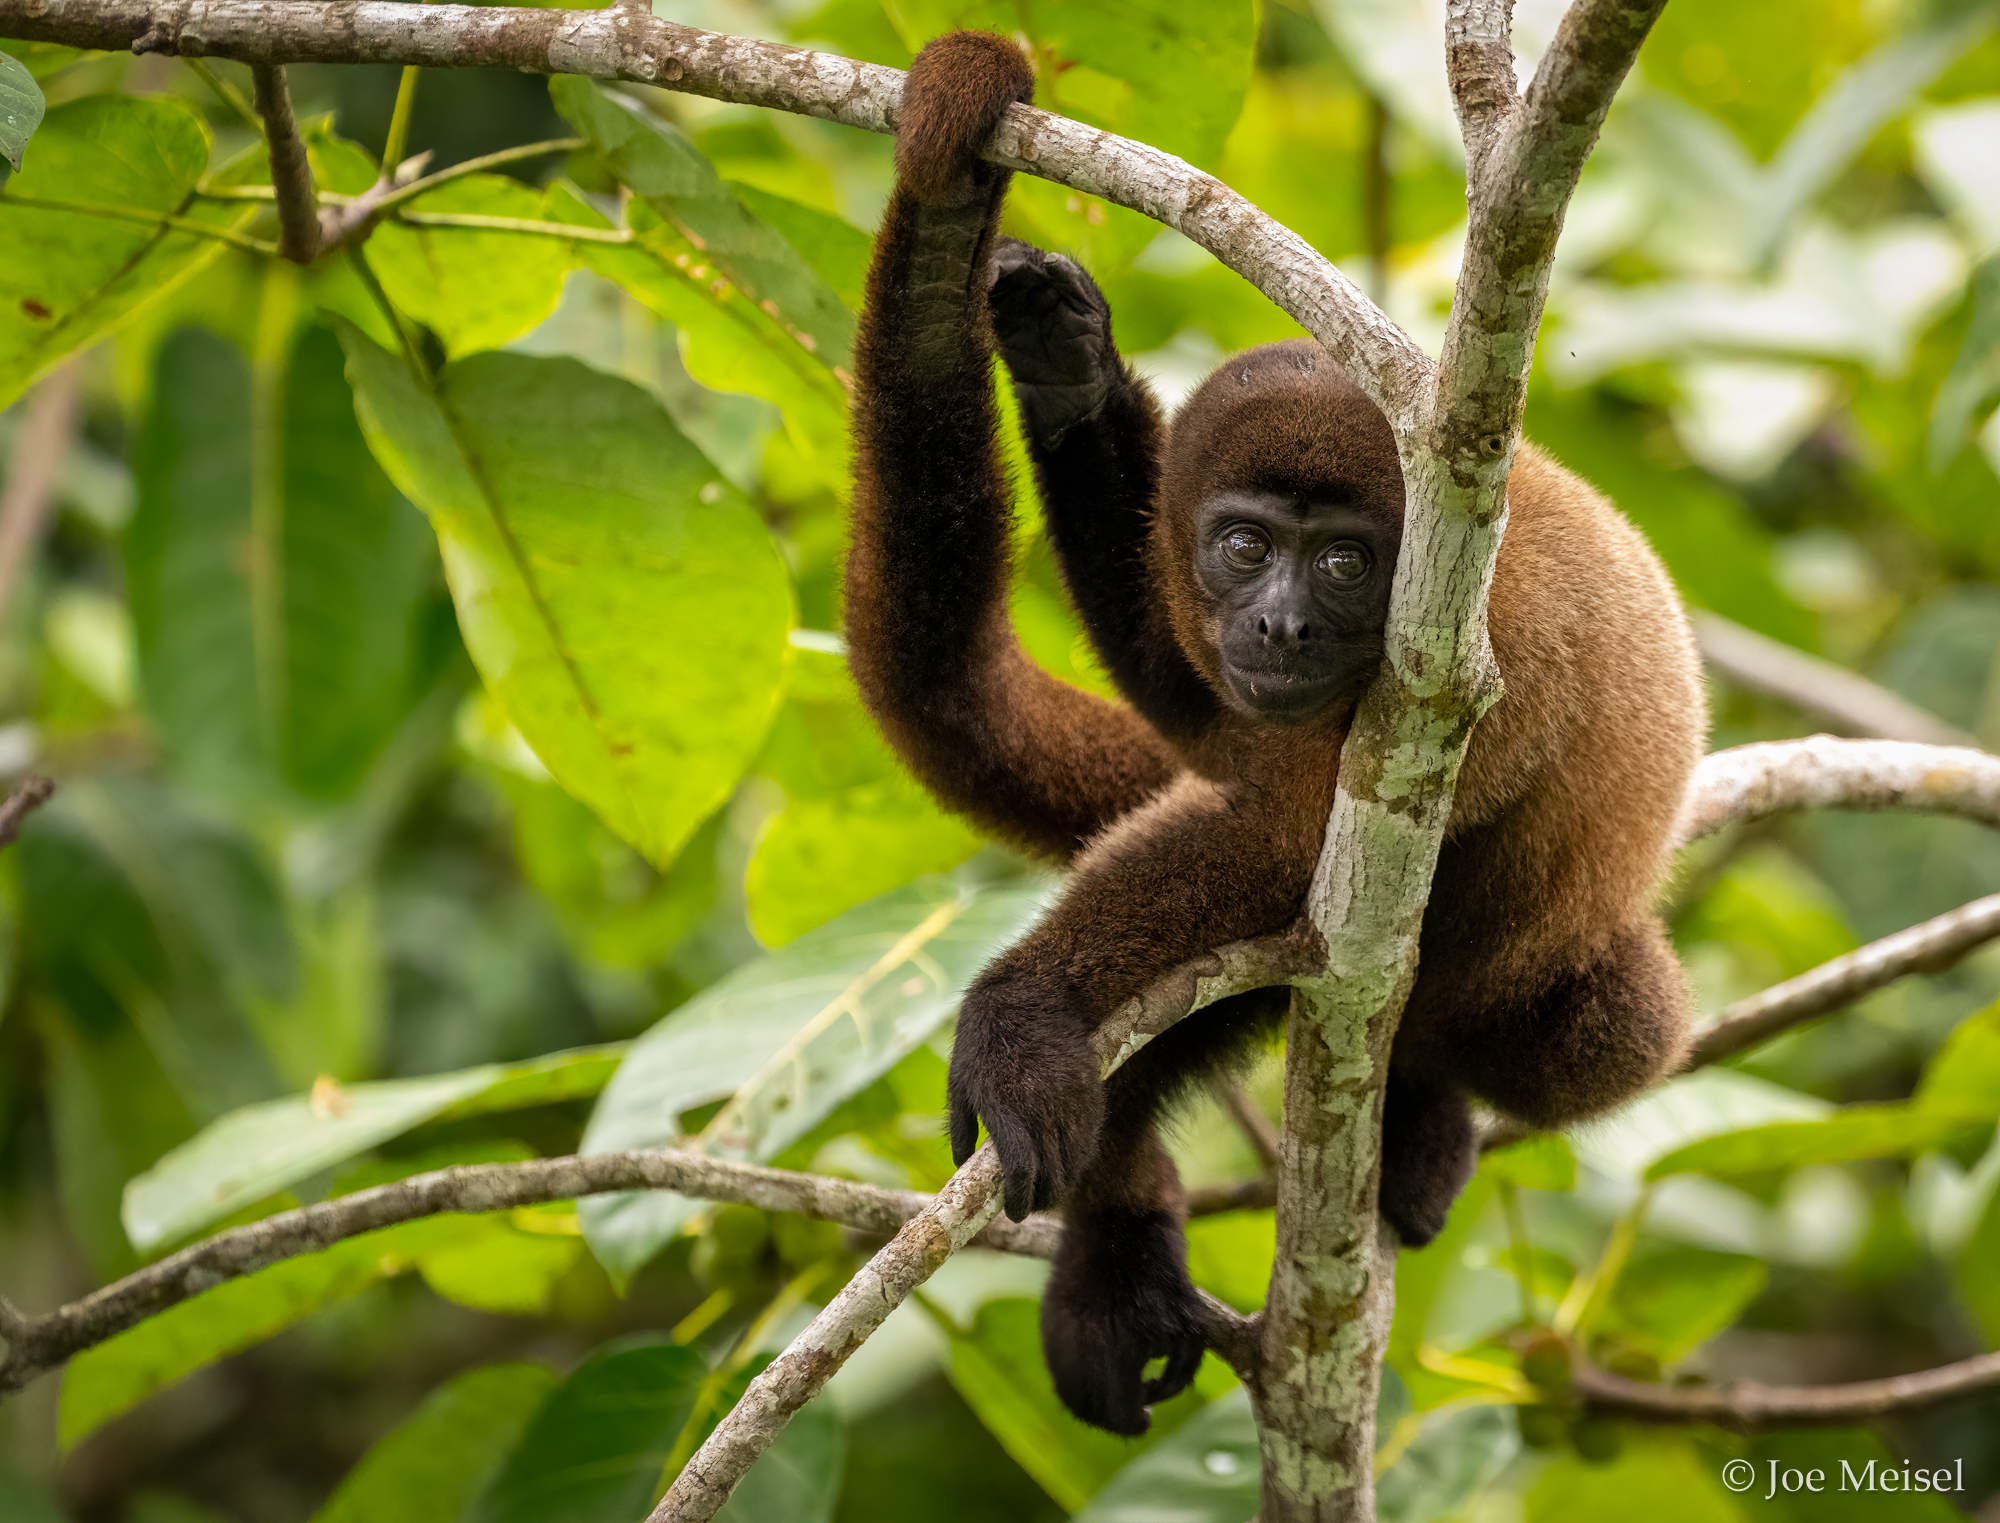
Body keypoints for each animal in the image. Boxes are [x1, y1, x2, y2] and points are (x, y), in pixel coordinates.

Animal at [843, 31, 1707, 1437]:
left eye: (1346, 563)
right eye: (1243, 546)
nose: (1281, 626)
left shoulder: (1484, 648)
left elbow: (1290, 840)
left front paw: (1021, 1010)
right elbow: (1193, 709)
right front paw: (1066, 364)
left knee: (1613, 1023)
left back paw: (1417, 1114)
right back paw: (1117, 1240)